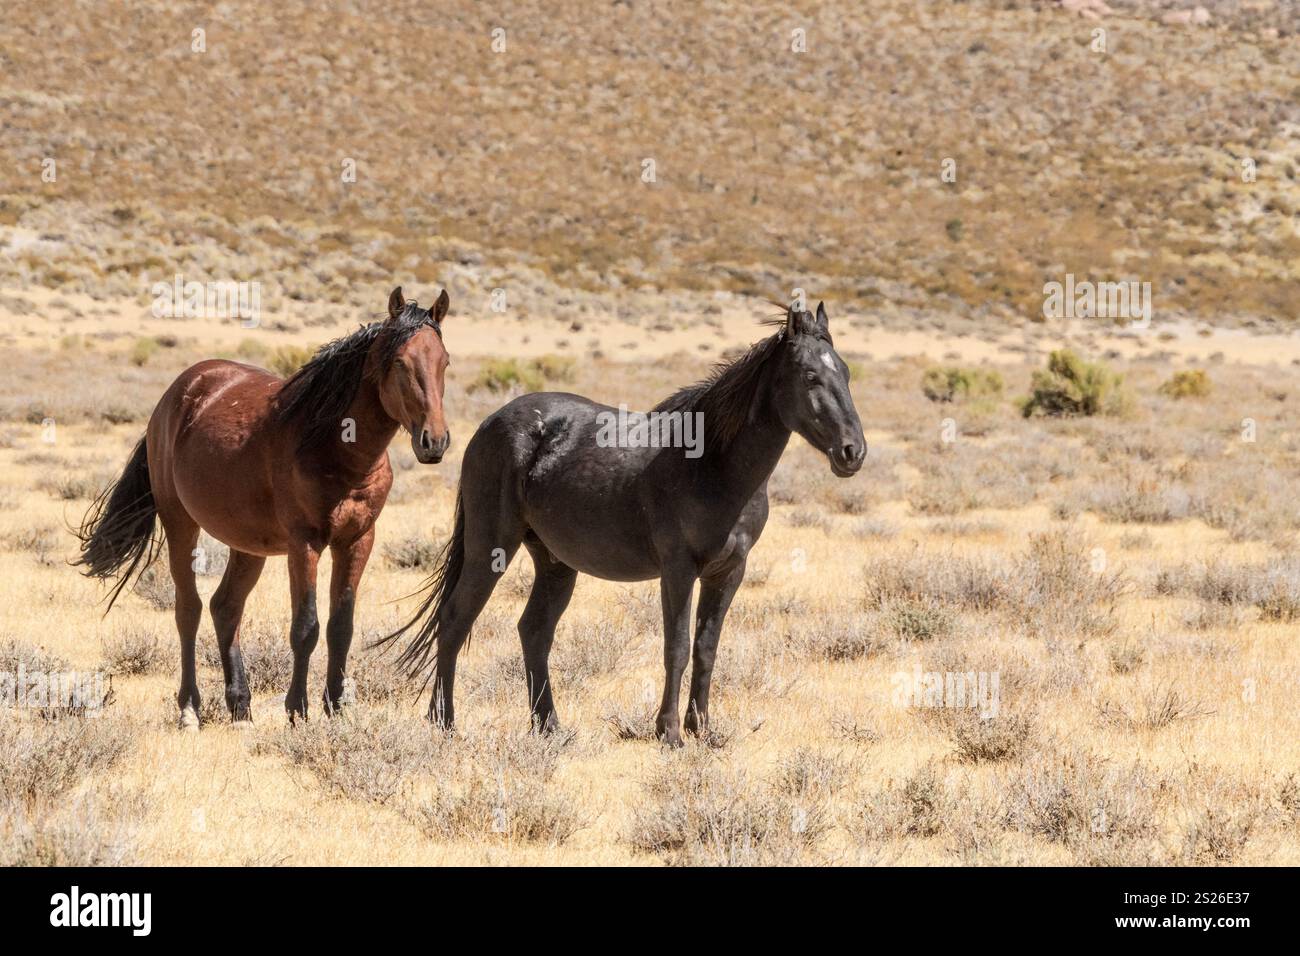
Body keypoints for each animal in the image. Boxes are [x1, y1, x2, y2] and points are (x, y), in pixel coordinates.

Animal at [75, 287, 452, 728]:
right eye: (399, 362)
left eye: (444, 361)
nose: (434, 441)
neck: (336, 446)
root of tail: (176, 394)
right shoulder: (305, 543)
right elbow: (306, 627)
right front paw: (297, 710)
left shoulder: (358, 540)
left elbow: (341, 626)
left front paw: (337, 707)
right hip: (181, 524)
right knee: (189, 609)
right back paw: (190, 708)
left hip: (247, 546)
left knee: (225, 607)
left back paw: (240, 705)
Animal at [380, 302, 865, 745]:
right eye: (810, 377)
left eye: (844, 373)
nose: (852, 452)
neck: (713, 464)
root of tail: (489, 424)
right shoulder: (678, 570)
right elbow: (677, 647)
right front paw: (670, 732)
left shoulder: (729, 571)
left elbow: (707, 649)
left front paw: (703, 730)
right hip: (490, 549)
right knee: (455, 620)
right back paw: (445, 722)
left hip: (555, 563)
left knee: (533, 631)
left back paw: (548, 726)